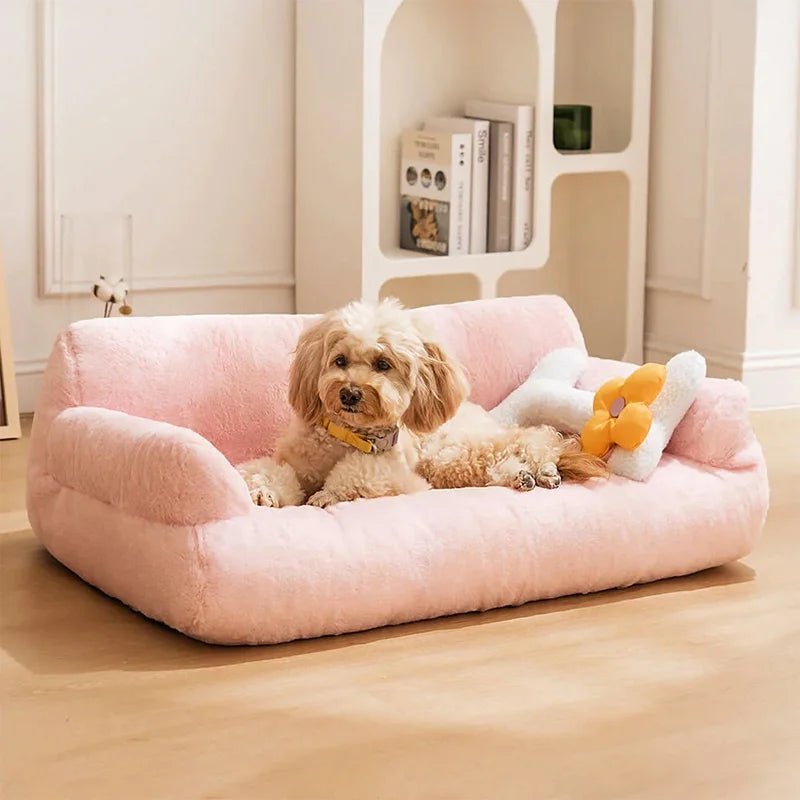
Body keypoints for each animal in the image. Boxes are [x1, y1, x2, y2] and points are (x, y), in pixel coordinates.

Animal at [239, 300, 608, 506]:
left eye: (383, 364)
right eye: (339, 361)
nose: (350, 393)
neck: (349, 436)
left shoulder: (400, 476)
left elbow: (357, 474)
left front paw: (327, 494)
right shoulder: (296, 464)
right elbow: (273, 472)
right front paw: (263, 491)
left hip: (448, 453)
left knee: (532, 438)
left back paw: (544, 467)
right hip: (454, 465)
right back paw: (524, 476)